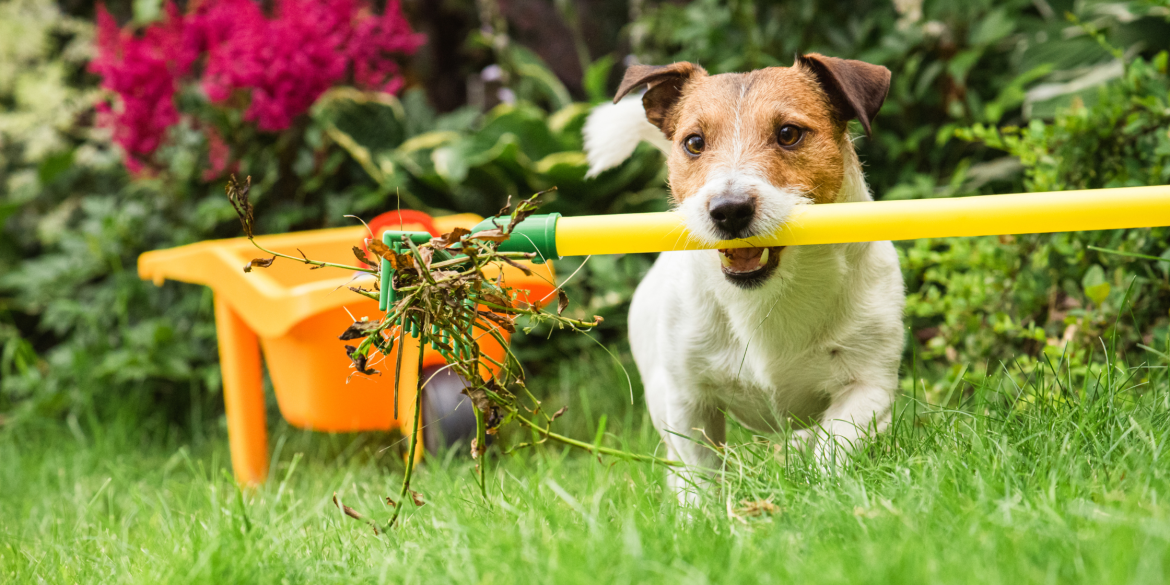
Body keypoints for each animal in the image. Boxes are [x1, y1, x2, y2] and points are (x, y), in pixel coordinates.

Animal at [585, 54, 903, 503]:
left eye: (788, 134)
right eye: (694, 143)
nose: (729, 209)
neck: (768, 298)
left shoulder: (867, 386)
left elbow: (832, 447)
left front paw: (822, 494)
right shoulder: (688, 401)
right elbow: (700, 473)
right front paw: (700, 514)